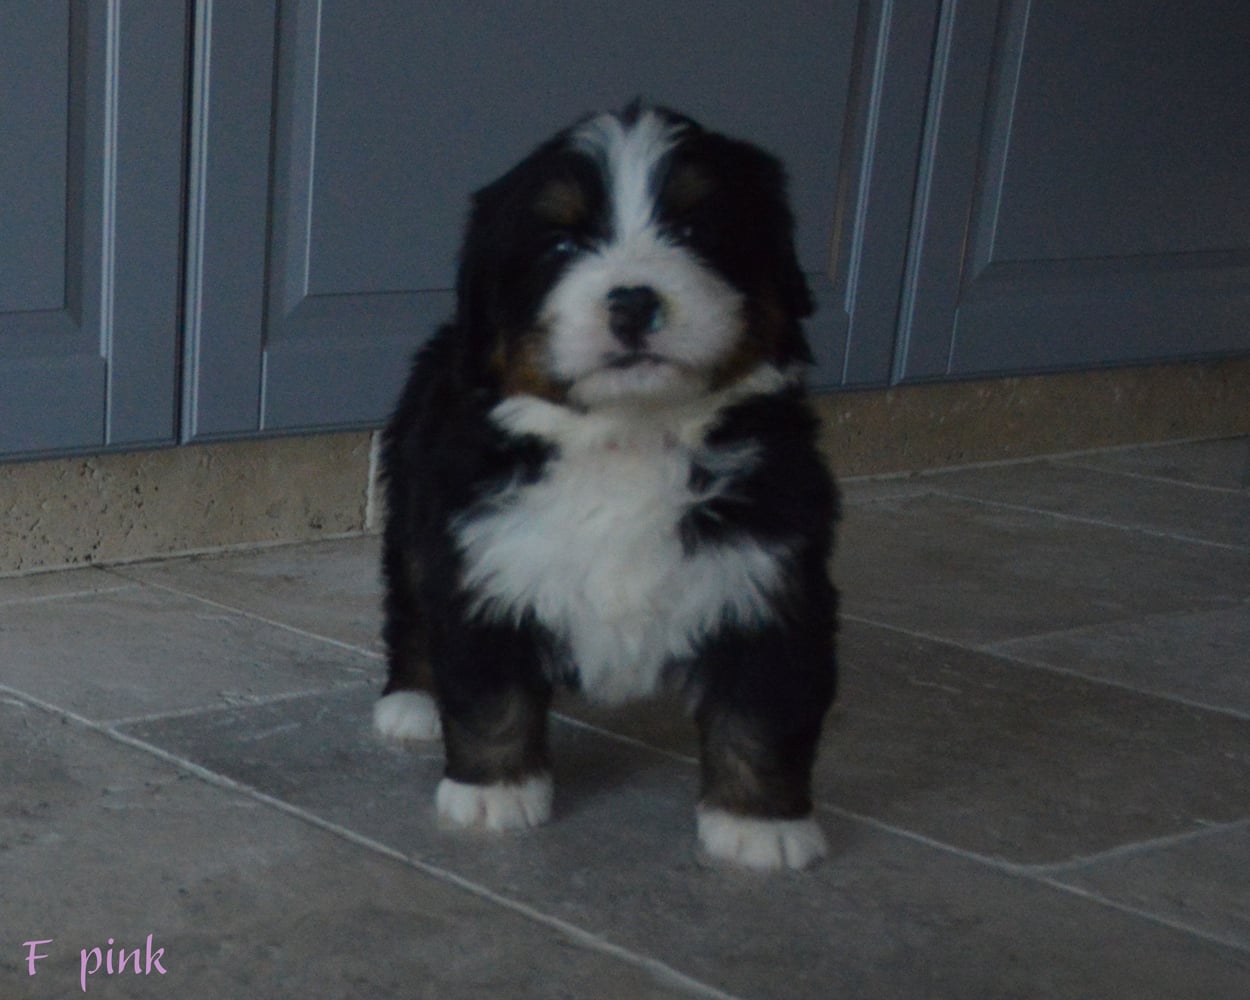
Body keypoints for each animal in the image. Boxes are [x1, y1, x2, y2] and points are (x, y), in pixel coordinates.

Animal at [374, 104, 838, 870]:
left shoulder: (768, 573)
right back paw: (410, 701)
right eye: (561, 243)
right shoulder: (481, 556)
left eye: (695, 231)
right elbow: (489, 691)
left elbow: (762, 708)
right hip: (413, 518)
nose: (633, 301)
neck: (629, 438)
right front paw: (495, 792)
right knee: (410, 608)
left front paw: (760, 826)